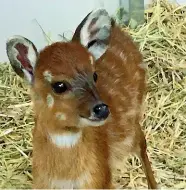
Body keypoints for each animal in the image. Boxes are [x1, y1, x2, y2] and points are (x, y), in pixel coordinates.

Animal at [6, 8, 157, 189]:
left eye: (94, 75)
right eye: (59, 85)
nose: (101, 109)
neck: (66, 179)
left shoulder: (103, 181)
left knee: (142, 143)